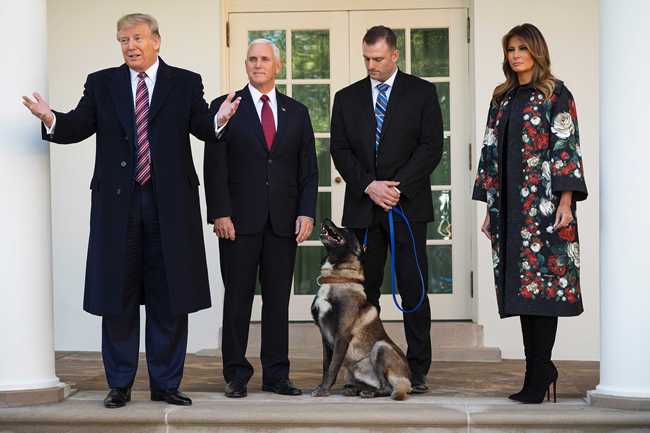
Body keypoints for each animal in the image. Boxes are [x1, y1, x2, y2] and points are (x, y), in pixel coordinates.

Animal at [308, 218, 410, 400]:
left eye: (346, 229)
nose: (326, 219)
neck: (336, 279)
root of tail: (407, 380)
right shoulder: (325, 337)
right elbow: (326, 366)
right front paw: (321, 386)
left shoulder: (342, 335)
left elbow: (333, 367)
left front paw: (323, 390)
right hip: (351, 370)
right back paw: (354, 389)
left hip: (381, 347)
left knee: (386, 387)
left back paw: (369, 392)